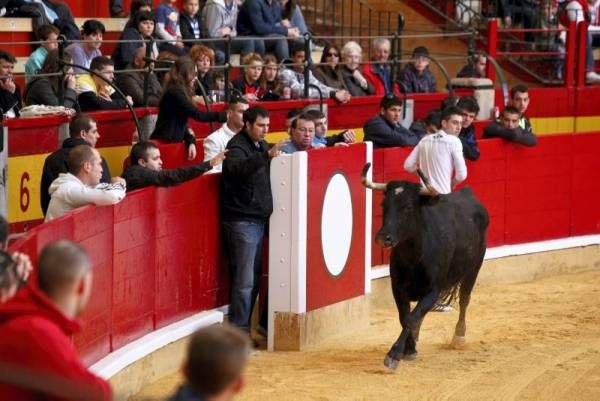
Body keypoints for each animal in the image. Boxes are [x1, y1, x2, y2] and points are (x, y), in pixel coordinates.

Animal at [360, 162, 488, 368]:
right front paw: (410, 348)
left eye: (407, 207)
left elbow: (412, 317)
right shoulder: (398, 288)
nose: (383, 237)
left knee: (464, 298)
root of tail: (469, 194)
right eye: (383, 205)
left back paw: (459, 336)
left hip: (474, 267)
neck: (413, 255)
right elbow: (406, 317)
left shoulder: (433, 290)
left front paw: (394, 354)